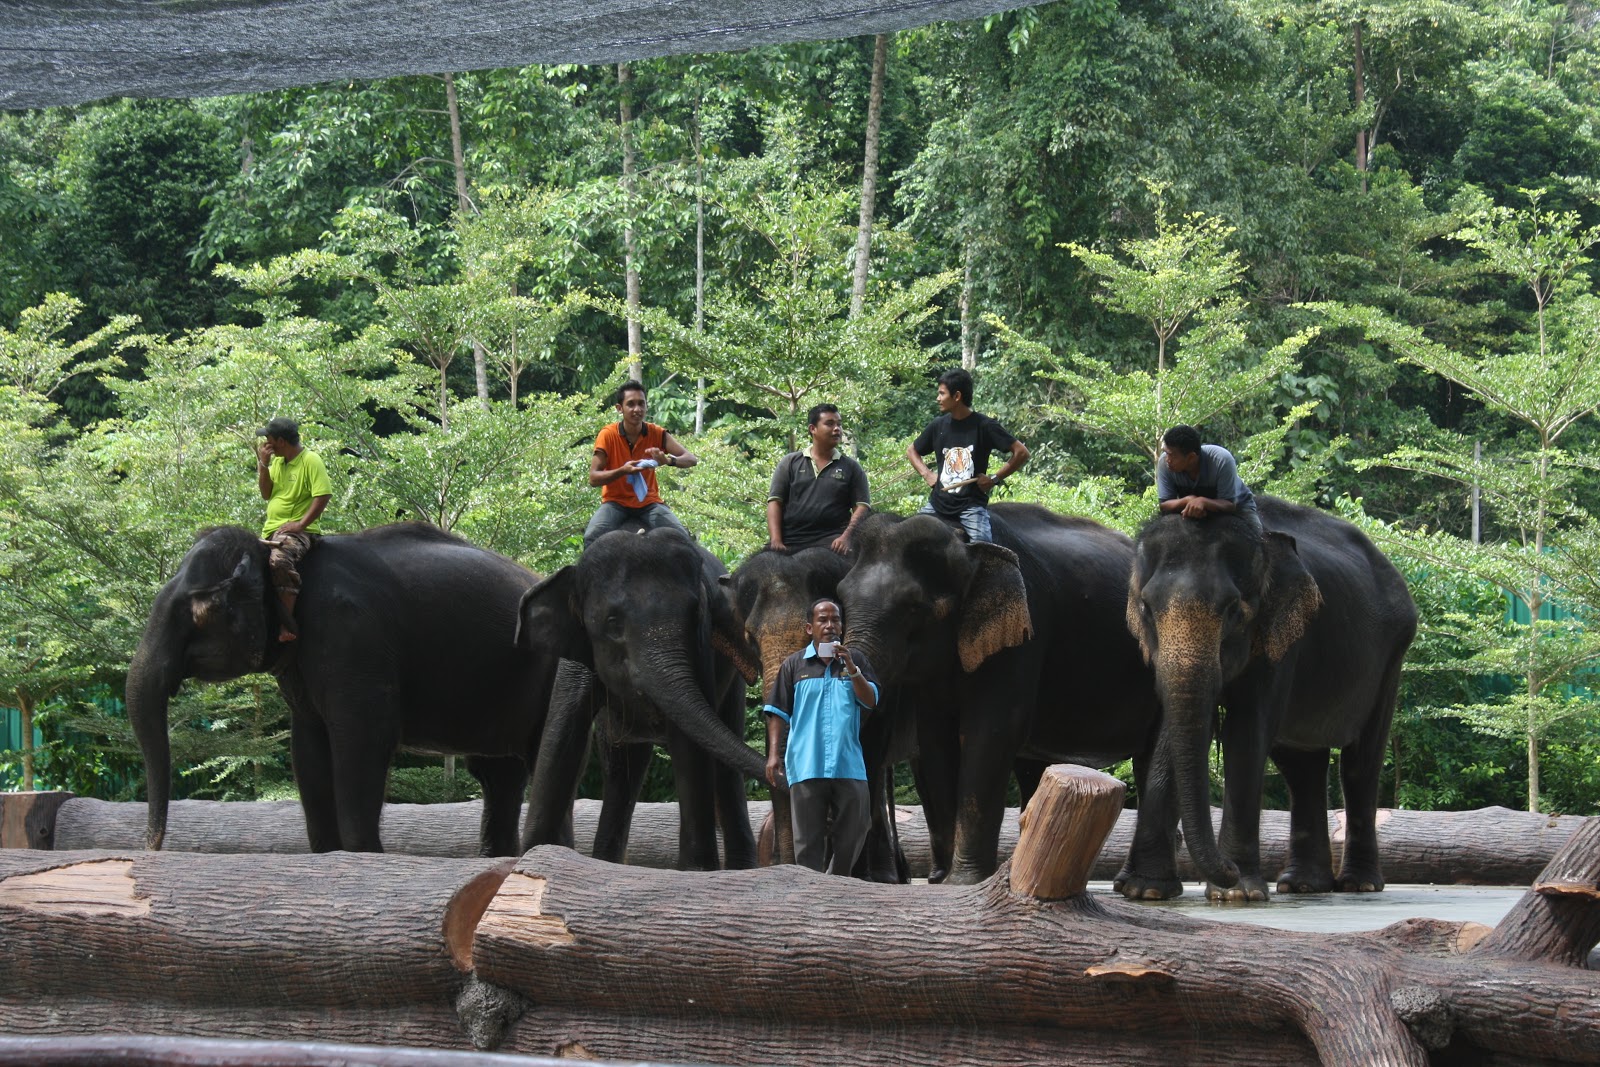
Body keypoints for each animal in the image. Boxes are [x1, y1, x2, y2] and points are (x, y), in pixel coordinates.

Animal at [128, 523, 563, 855]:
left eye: (199, 610)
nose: (152, 846)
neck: (280, 564)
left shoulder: (353, 636)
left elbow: (364, 740)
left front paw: (364, 857)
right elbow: (307, 750)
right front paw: (330, 855)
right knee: (498, 774)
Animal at [515, 527, 769, 871]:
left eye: (696, 614)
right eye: (612, 623)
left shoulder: (700, 651)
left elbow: (690, 749)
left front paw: (697, 871)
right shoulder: (575, 661)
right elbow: (561, 738)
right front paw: (529, 857)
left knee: (726, 761)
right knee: (622, 769)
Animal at [836, 504, 1172, 886]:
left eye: (913, 607)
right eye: (841, 596)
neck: (965, 544)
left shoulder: (1024, 629)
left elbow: (990, 733)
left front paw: (963, 882)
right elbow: (935, 740)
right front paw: (949, 883)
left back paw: (1144, 888)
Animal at [1124, 496, 1418, 901]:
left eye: (1234, 609)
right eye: (1147, 609)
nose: (1225, 870)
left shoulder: (1281, 641)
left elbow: (1246, 732)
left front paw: (1237, 893)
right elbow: (1173, 732)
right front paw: (1146, 890)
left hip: (1391, 660)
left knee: (1360, 763)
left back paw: (1359, 885)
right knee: (1303, 768)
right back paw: (1304, 885)